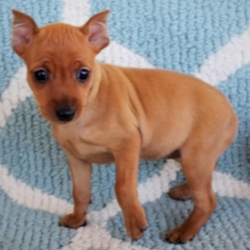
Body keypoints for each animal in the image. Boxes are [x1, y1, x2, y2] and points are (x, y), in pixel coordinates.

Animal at [11, 9, 238, 242]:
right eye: (40, 75)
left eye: (84, 74)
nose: (66, 113)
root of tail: (229, 107)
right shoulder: (77, 159)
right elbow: (80, 192)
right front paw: (77, 219)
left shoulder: (127, 145)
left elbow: (123, 187)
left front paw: (134, 221)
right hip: (189, 157)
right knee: (208, 177)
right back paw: (185, 191)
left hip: (195, 158)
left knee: (207, 200)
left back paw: (184, 231)